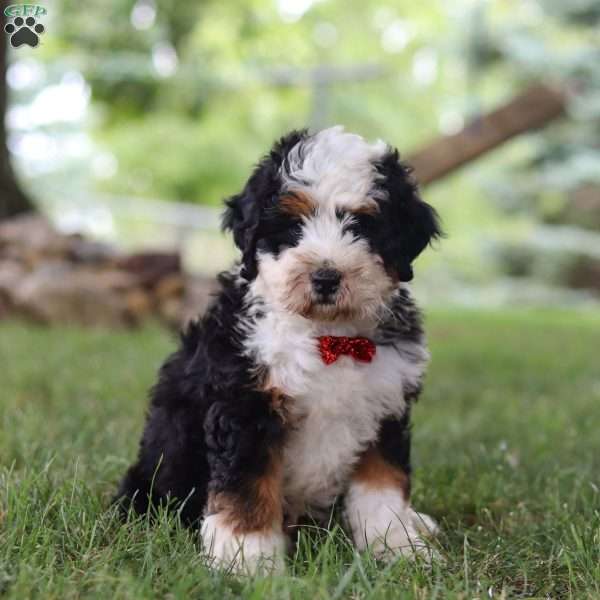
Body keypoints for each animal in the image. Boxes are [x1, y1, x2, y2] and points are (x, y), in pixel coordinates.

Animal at [117, 125, 442, 572]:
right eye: (292, 226)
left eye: (362, 226)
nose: (326, 277)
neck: (329, 337)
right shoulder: (245, 405)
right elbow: (247, 488)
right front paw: (247, 561)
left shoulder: (385, 405)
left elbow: (382, 488)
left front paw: (398, 547)